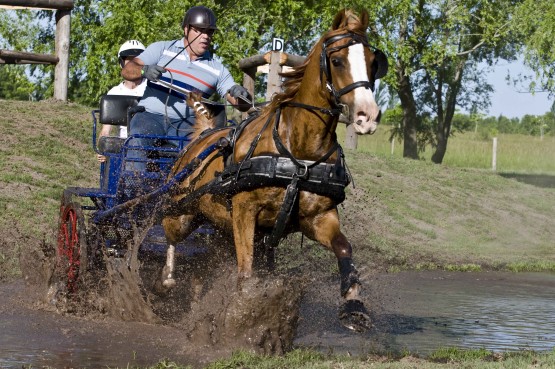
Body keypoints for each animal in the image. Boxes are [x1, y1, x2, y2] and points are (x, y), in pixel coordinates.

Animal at [159, 7, 388, 328]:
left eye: (372, 62)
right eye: (337, 60)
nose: (368, 116)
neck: (297, 155)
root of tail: (203, 136)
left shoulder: (319, 217)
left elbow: (344, 248)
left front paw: (354, 304)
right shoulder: (244, 211)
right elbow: (246, 271)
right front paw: (242, 313)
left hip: (219, 227)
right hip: (181, 212)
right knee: (167, 234)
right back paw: (166, 278)